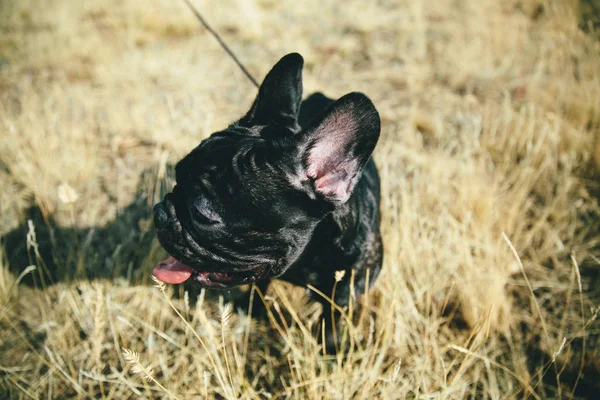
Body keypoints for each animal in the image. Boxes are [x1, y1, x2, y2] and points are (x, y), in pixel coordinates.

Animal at [152, 53, 382, 350]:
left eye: (203, 215)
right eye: (177, 176)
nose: (160, 212)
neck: (305, 260)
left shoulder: (344, 292)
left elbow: (330, 321)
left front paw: (328, 348)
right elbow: (259, 287)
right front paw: (254, 309)